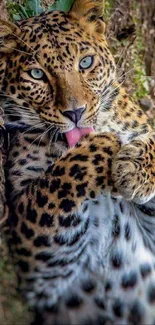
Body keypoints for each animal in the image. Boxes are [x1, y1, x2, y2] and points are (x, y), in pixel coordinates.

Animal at [0, 0, 155, 322]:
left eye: (85, 63)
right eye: (37, 74)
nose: (76, 113)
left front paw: (133, 168)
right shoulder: (35, 250)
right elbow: (58, 179)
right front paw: (106, 143)